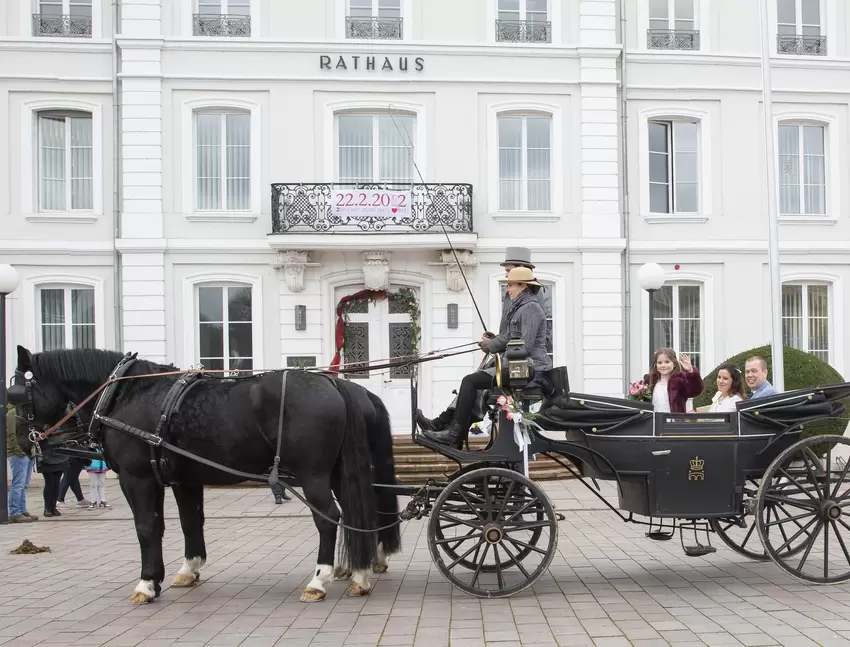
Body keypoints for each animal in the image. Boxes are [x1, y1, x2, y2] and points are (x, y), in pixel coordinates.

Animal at [10, 346, 400, 604]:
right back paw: (359, 573)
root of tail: (337, 385)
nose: (24, 443)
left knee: (329, 518)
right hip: (340, 473)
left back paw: (320, 580)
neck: (127, 393)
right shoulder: (183, 478)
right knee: (358, 516)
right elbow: (188, 522)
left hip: (314, 475)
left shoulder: (137, 479)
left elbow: (146, 527)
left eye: (15, 393)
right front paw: (188, 569)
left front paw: (147, 584)